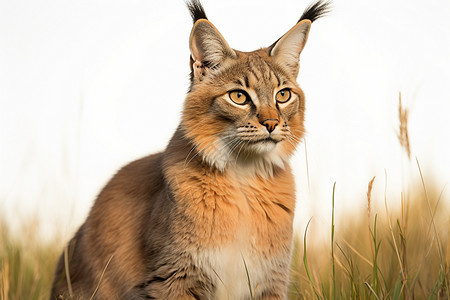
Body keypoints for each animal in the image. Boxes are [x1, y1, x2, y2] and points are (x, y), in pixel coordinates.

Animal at [50, 1, 330, 298]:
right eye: (239, 97)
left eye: (283, 95)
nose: (272, 123)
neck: (245, 178)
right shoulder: (175, 276)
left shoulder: (271, 280)